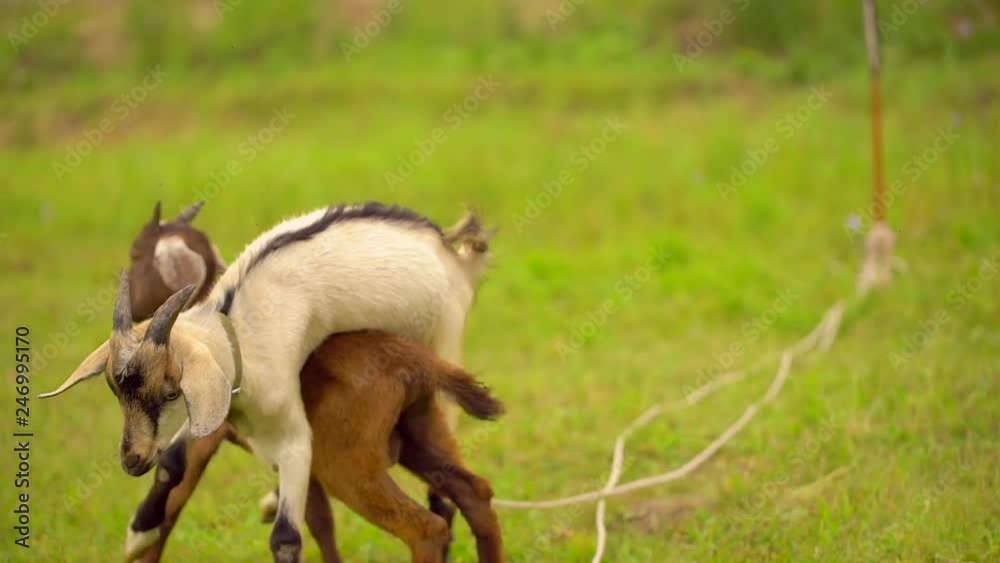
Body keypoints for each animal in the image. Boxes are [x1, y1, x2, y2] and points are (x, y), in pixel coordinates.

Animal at [41, 201, 494, 562]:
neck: (231, 330)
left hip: (357, 454)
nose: (131, 460)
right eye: (113, 389)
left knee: (428, 523)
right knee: (470, 494)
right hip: (421, 430)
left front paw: (140, 534)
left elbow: (288, 533)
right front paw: (142, 531)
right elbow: (176, 467)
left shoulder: (289, 440)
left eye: (137, 252)